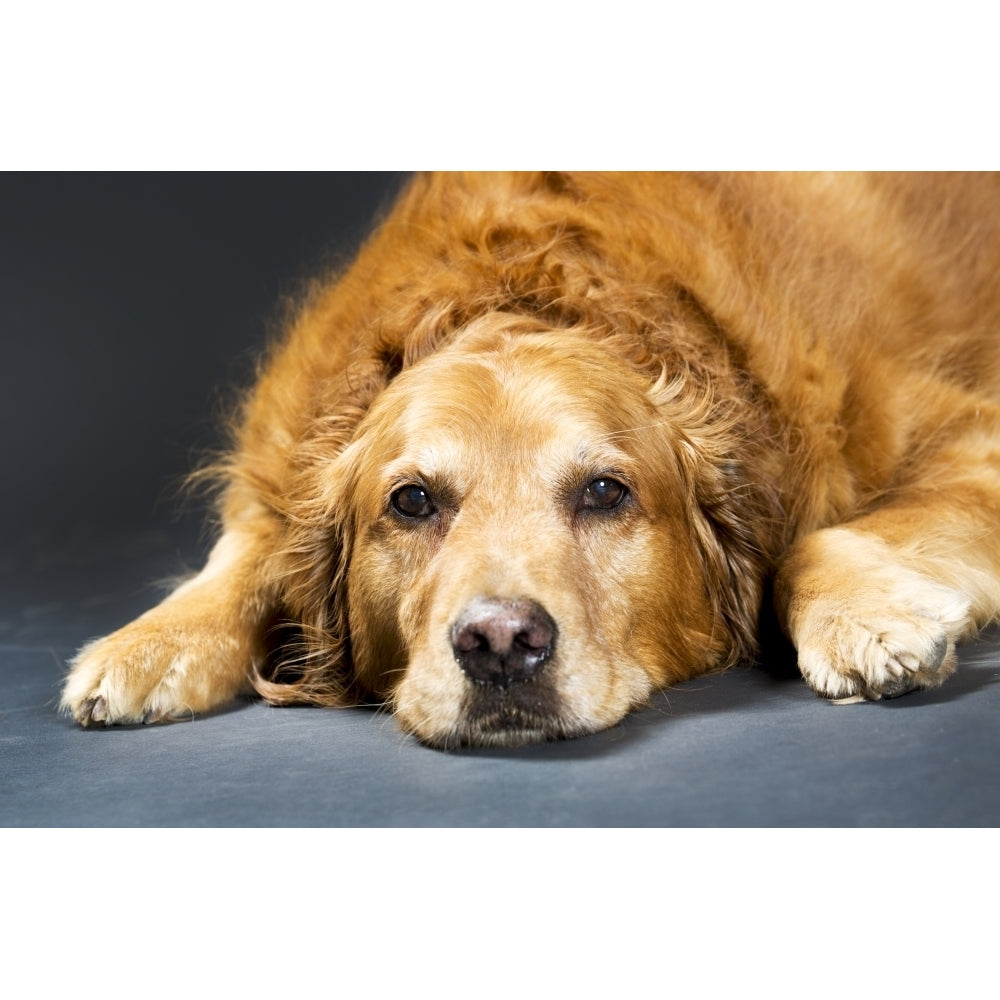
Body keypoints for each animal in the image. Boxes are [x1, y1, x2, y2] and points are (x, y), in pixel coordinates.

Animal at [60, 172, 1000, 748]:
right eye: (410, 502)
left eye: (606, 492)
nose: (501, 644)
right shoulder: (279, 470)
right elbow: (247, 549)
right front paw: (150, 645)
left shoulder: (963, 425)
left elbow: (810, 542)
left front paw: (865, 620)